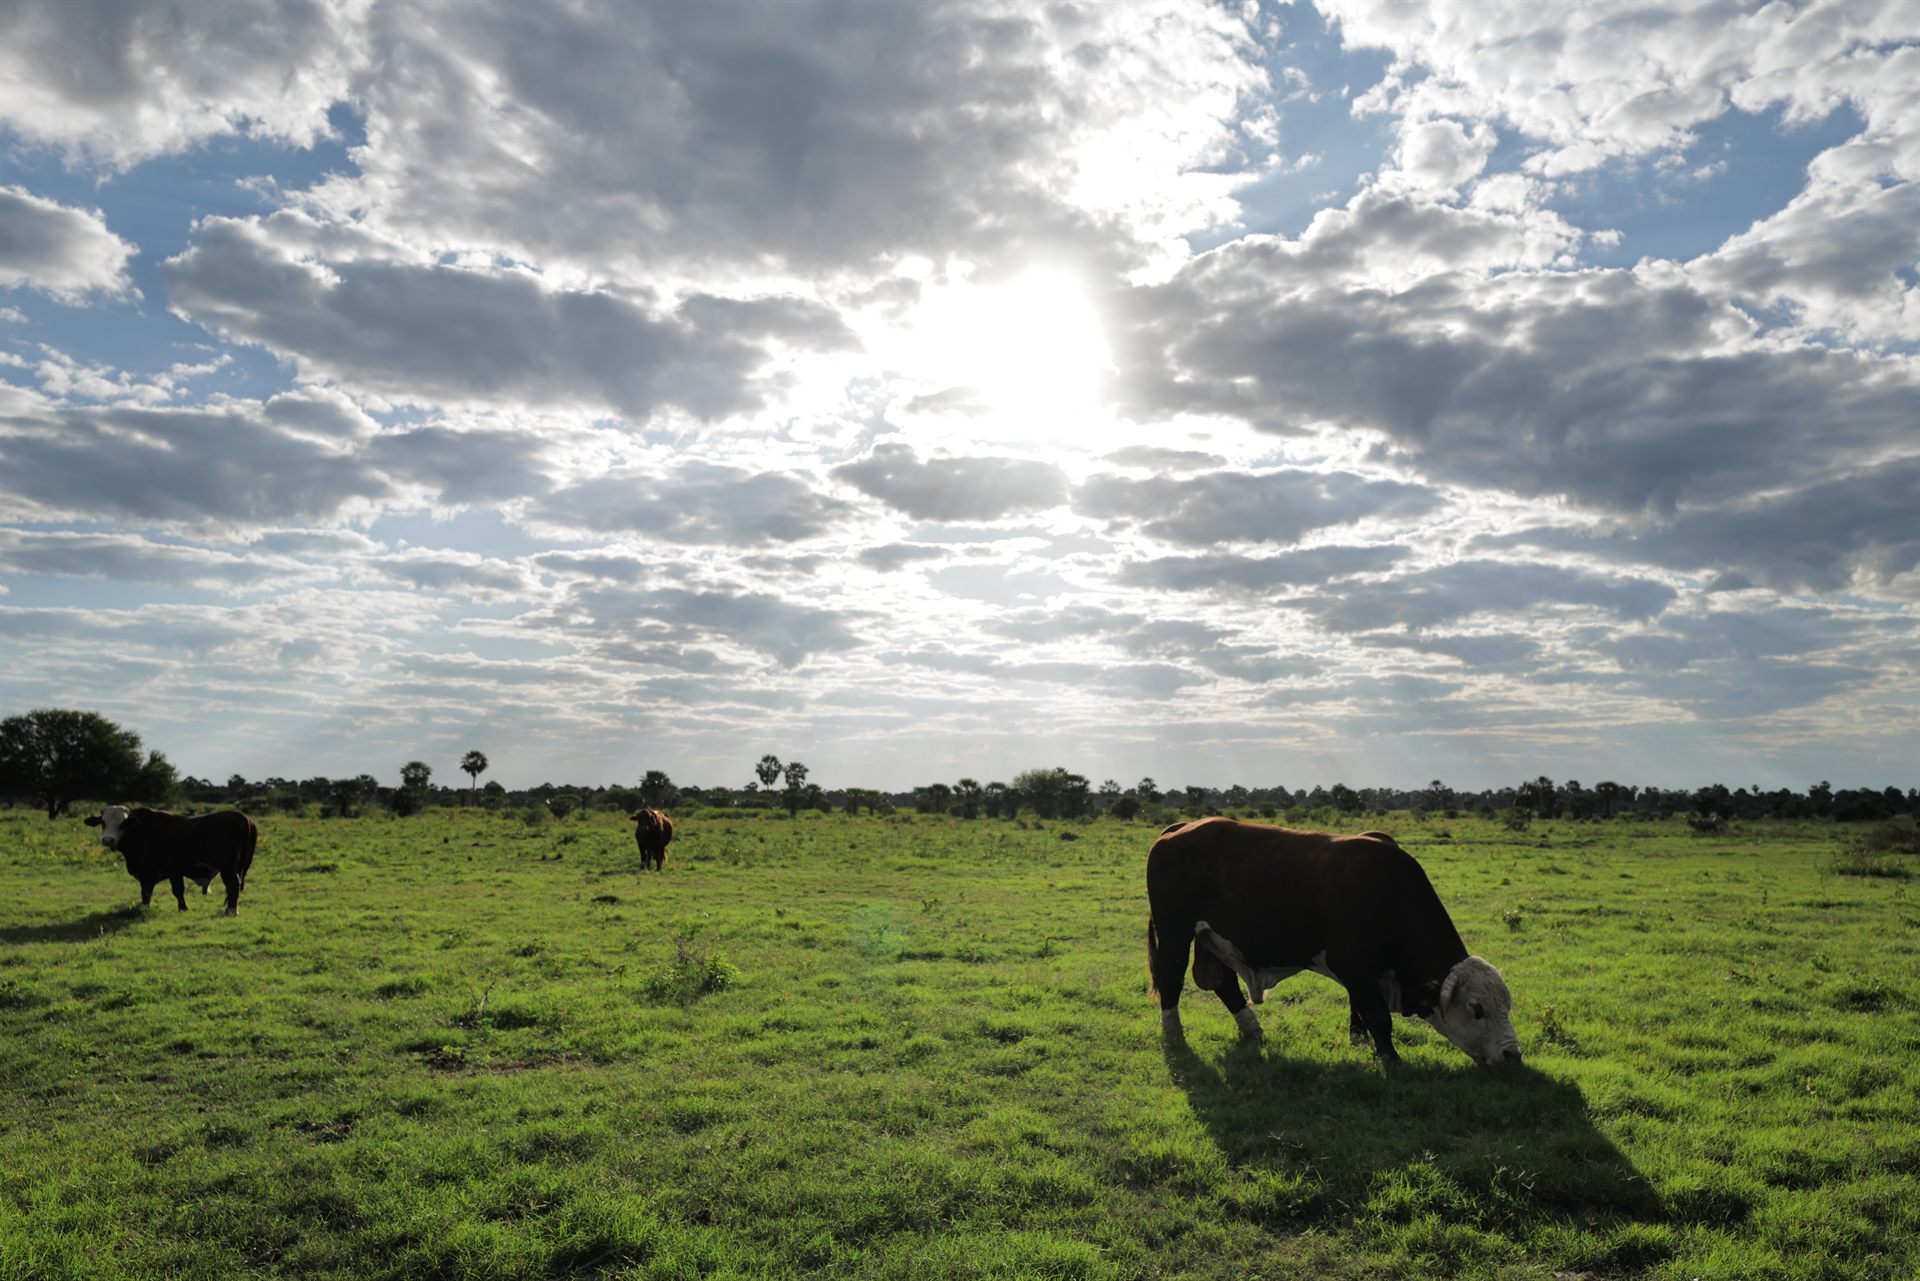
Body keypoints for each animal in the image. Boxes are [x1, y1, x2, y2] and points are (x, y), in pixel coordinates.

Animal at [83, 806, 258, 915]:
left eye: (122, 824)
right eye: (103, 823)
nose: (108, 840)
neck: (138, 830)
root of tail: (244, 817)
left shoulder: (146, 874)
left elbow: (146, 894)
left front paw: (144, 910)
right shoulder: (175, 871)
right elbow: (178, 891)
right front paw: (183, 908)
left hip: (228, 868)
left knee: (233, 885)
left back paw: (231, 911)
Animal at [1147, 818, 1519, 1067]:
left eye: (1507, 1004)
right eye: (1476, 1009)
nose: (1512, 1054)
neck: (1387, 889)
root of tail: (1181, 828)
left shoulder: (1363, 970)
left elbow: (1358, 1004)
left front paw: (1359, 1038)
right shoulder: (1353, 962)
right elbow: (1378, 1015)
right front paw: (1391, 1058)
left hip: (1210, 939)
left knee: (1224, 984)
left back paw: (1252, 1029)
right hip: (1175, 933)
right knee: (1172, 979)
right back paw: (1173, 1033)